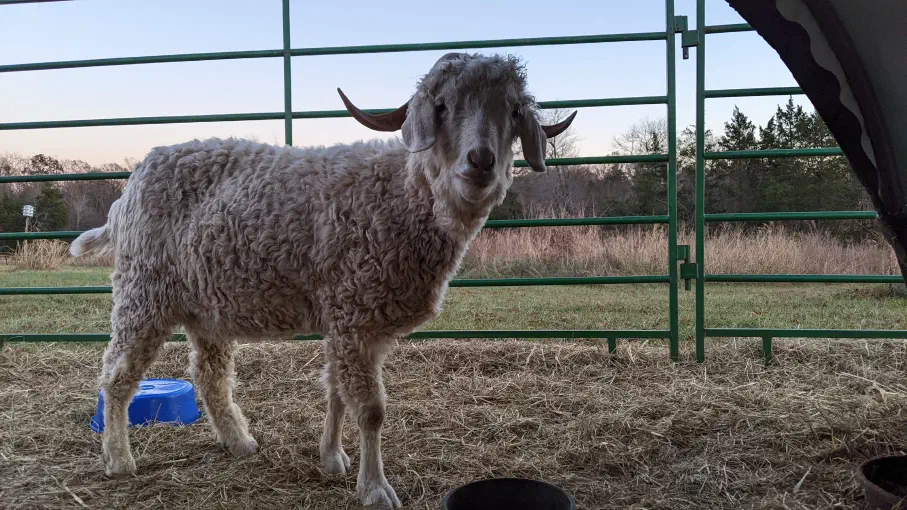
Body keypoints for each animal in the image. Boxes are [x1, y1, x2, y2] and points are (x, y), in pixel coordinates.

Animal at [70, 52, 576, 508]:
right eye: (442, 106)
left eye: (513, 112)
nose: (481, 160)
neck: (400, 194)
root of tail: (127, 191)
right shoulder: (354, 313)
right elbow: (370, 410)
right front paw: (375, 489)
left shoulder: (346, 316)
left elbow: (334, 390)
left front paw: (332, 458)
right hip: (143, 291)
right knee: (117, 373)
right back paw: (118, 459)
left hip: (204, 306)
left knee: (209, 375)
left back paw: (239, 442)